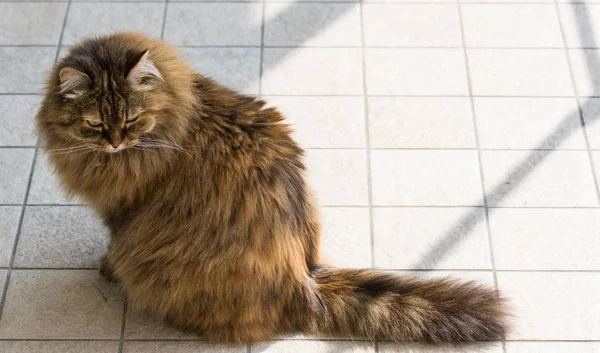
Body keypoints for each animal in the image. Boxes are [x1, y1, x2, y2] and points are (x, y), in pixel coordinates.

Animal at [35, 32, 508, 340]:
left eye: (131, 120)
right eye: (95, 125)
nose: (115, 142)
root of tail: (306, 280)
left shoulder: (124, 209)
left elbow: (114, 243)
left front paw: (107, 266)